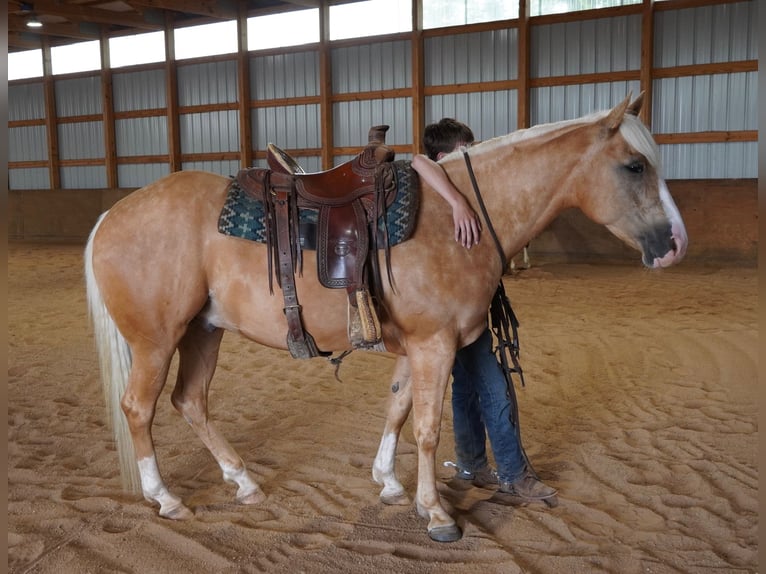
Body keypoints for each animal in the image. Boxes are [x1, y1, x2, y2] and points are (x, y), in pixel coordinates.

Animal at [84, 94, 687, 543]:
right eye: (635, 165)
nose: (675, 245)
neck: (459, 216)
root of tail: (114, 213)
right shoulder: (435, 345)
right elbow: (427, 428)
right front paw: (437, 514)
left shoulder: (423, 346)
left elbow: (397, 409)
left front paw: (390, 485)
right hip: (157, 340)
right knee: (139, 408)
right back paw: (166, 498)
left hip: (202, 333)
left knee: (190, 402)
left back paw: (244, 482)